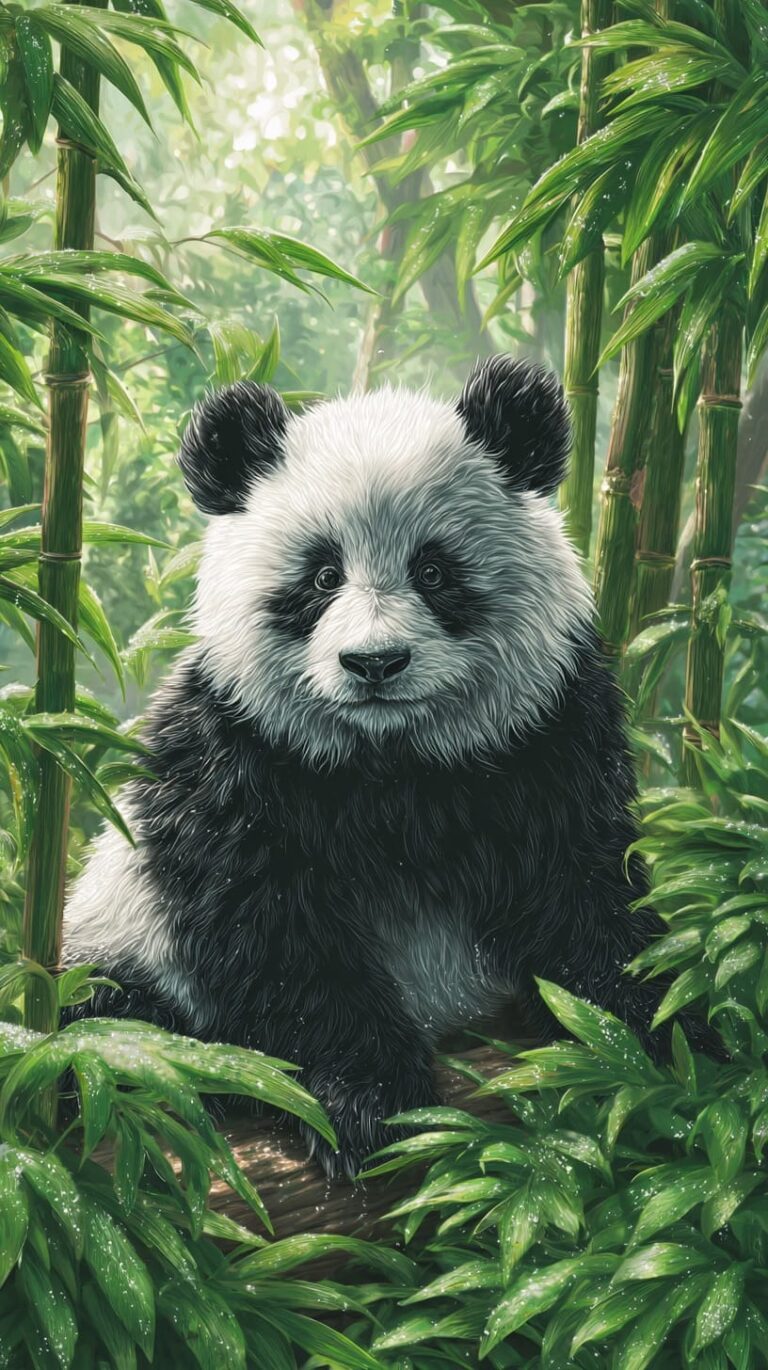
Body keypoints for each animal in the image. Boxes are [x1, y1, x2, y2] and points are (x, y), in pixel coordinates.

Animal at [63, 354, 673, 1178]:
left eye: (435, 571)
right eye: (323, 576)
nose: (375, 663)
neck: (392, 758)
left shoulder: (545, 733)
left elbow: (585, 883)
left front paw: (642, 1039)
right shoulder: (234, 755)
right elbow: (270, 930)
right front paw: (367, 1098)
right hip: (113, 941)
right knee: (108, 1026)